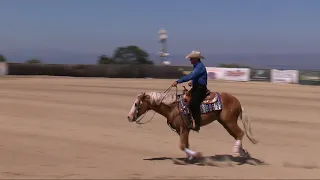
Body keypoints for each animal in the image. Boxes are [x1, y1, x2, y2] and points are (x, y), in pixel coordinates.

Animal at [127, 85, 258, 161]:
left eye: (136, 104)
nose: (129, 117)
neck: (173, 107)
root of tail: (238, 102)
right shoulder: (182, 130)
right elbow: (186, 144)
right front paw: (190, 157)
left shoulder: (184, 129)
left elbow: (182, 146)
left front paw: (197, 155)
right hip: (226, 123)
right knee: (237, 135)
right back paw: (243, 153)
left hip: (229, 121)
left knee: (240, 133)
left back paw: (236, 153)